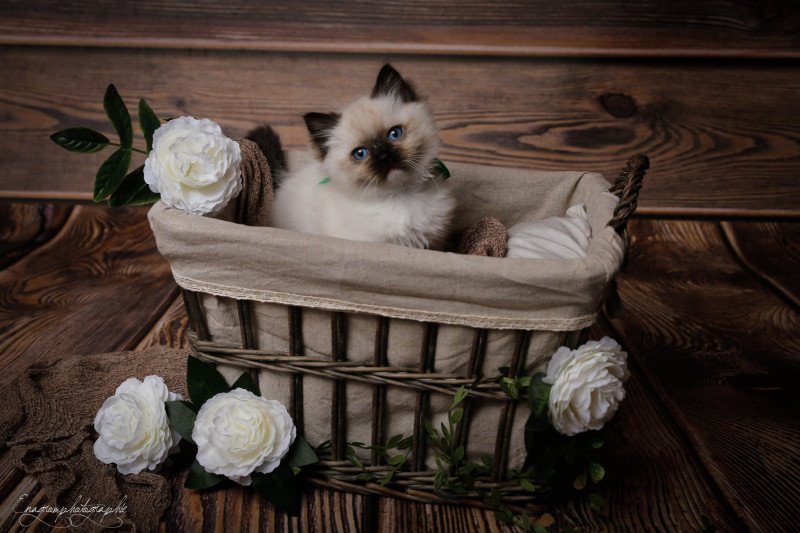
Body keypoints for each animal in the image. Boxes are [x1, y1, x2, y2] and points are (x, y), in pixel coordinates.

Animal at [247, 64, 454, 249]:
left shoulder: (435, 243)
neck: (400, 197)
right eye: (360, 153)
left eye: (394, 134)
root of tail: (284, 179)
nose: (384, 157)